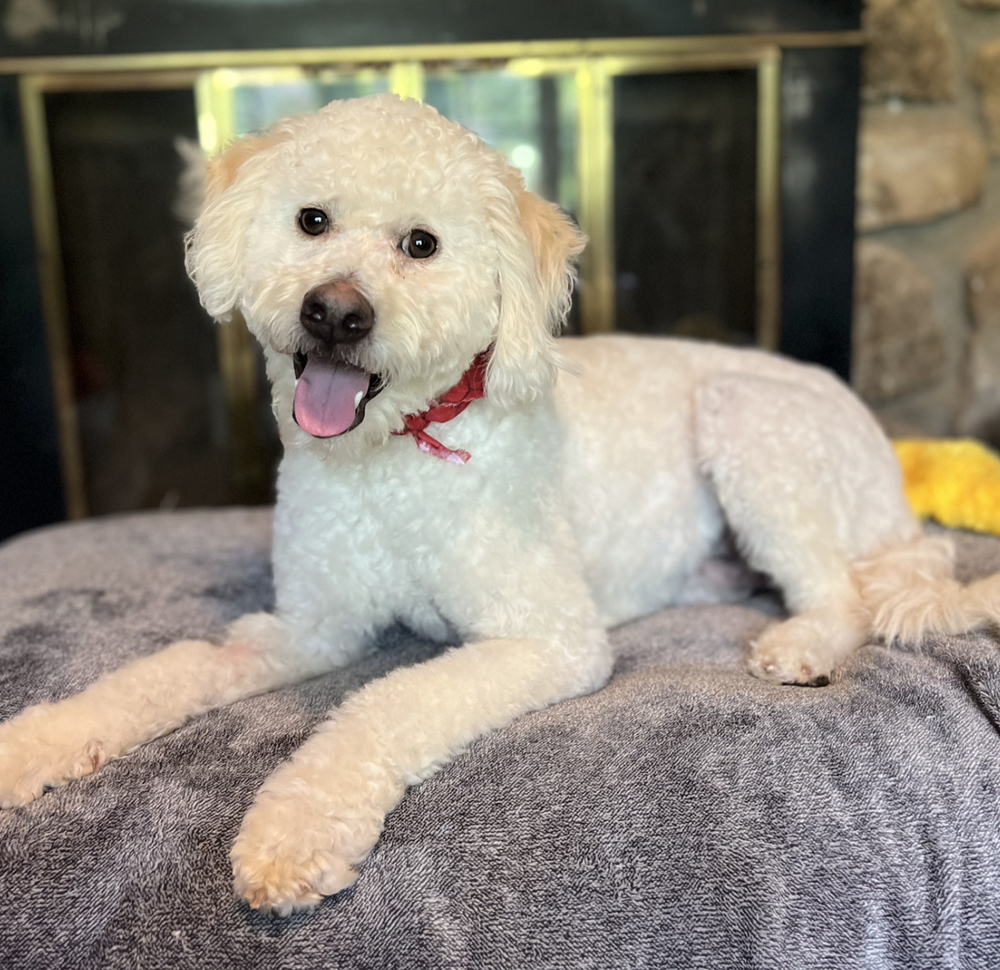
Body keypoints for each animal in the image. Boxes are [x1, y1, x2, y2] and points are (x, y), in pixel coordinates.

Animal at [1, 94, 1000, 912]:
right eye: (311, 220)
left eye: (422, 245)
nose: (335, 313)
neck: (394, 457)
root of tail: (881, 460)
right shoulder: (310, 628)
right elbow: (168, 668)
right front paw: (42, 741)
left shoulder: (548, 640)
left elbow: (385, 704)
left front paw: (294, 830)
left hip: (747, 419)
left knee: (844, 596)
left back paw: (803, 645)